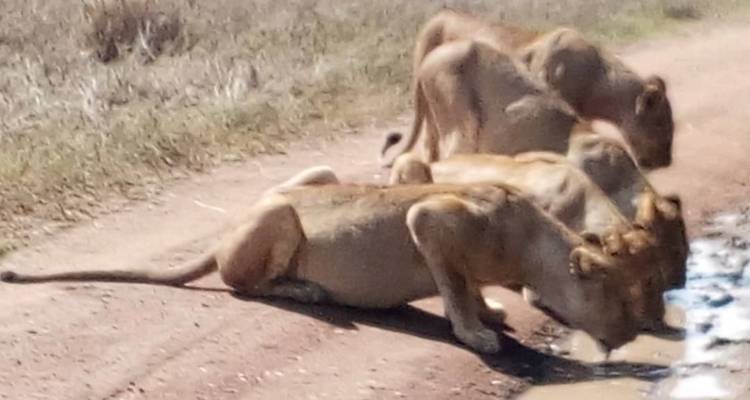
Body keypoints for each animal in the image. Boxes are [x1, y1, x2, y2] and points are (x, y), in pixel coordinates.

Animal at [1, 178, 643, 353]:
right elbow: (452, 287)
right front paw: (476, 331)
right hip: (281, 214)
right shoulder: (429, 218)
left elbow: (462, 285)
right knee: (246, 285)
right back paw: (310, 291)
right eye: (617, 298)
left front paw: (489, 310)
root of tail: (224, 233)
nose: (632, 335)